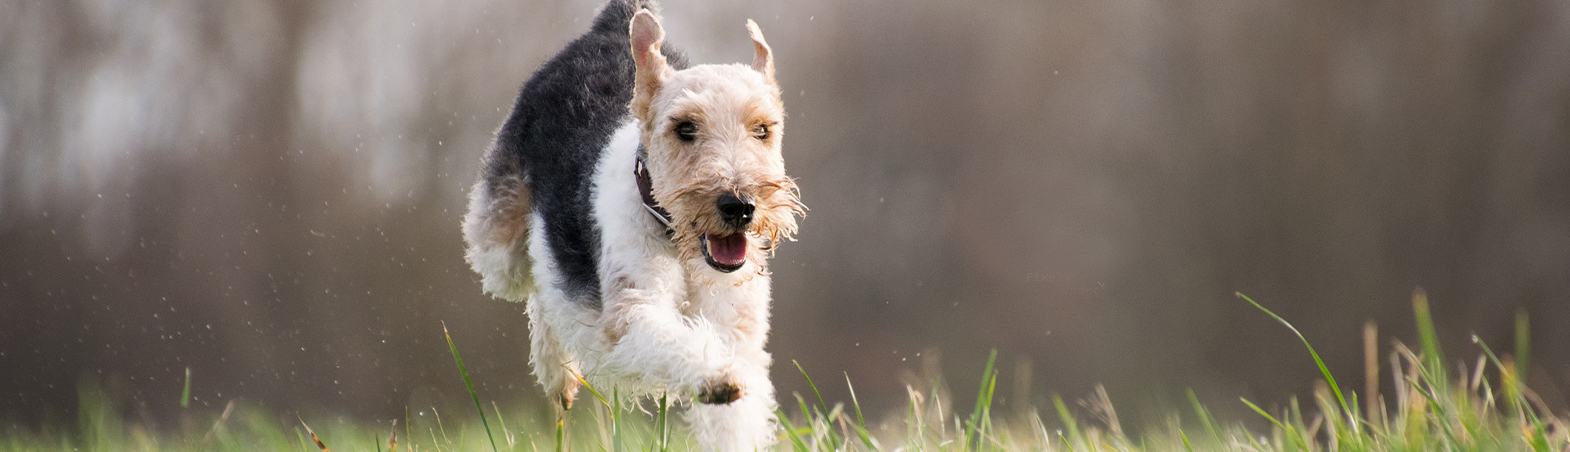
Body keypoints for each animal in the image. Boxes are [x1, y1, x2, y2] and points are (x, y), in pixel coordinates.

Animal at [455, 0, 797, 448]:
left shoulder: (737, 327)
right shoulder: (632, 310)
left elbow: (734, 420)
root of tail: (615, 21)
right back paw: (558, 375)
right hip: (499, 249)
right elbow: (672, 340)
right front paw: (716, 376)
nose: (739, 206)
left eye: (762, 129)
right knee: (539, 282)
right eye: (684, 128)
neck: (677, 243)